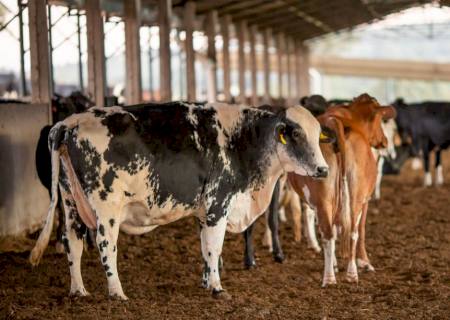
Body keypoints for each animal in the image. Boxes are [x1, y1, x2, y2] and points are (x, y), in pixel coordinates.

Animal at [288, 94, 394, 286]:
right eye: (379, 120)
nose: (384, 141)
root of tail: (335, 123)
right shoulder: (365, 200)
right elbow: (360, 229)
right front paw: (364, 262)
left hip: (327, 199)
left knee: (333, 233)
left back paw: (337, 275)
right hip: (353, 197)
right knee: (348, 232)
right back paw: (341, 275)